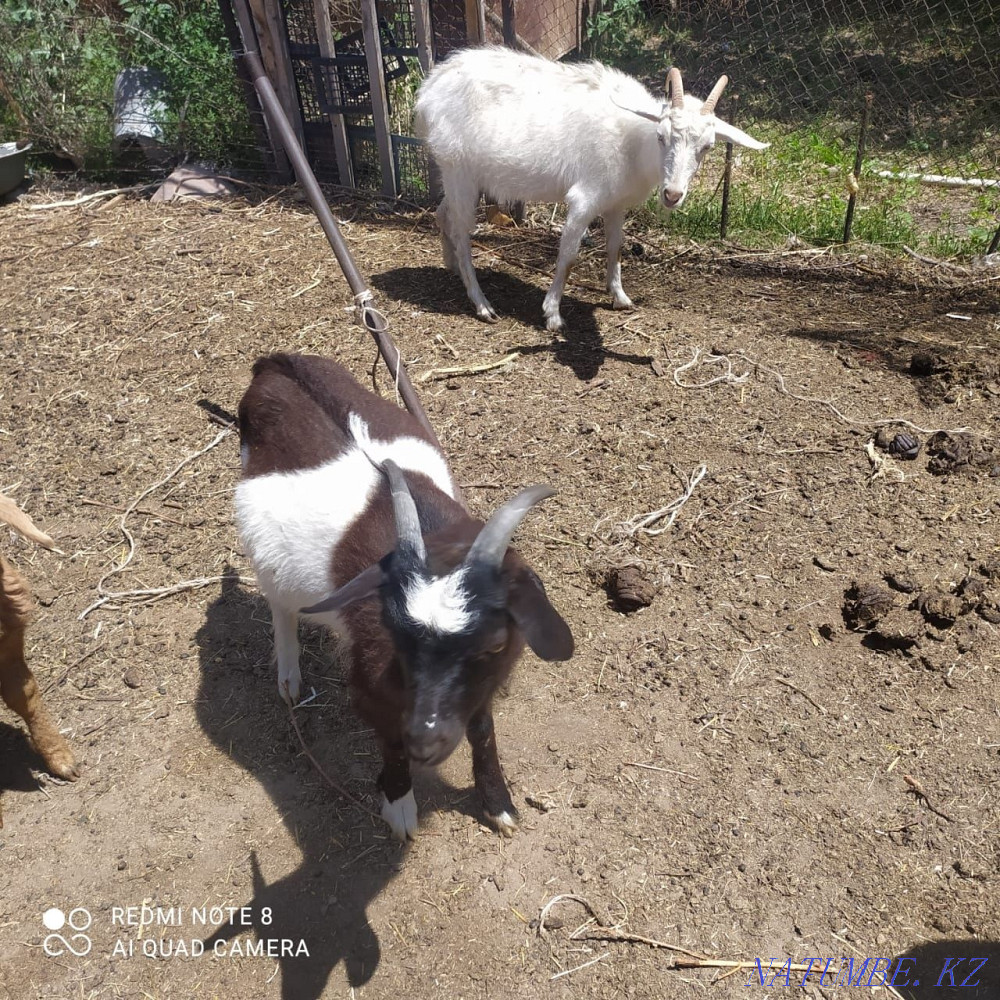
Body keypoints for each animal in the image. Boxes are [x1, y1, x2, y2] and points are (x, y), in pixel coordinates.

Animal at [234, 354, 573, 840]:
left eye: (493, 644)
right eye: (395, 632)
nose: (426, 742)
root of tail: (276, 364)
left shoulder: (482, 684)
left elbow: (482, 729)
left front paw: (499, 805)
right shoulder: (369, 687)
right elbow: (391, 742)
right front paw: (399, 810)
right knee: (280, 605)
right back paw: (288, 680)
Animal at [415, 46, 768, 331]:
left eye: (708, 146)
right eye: (661, 136)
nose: (672, 195)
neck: (631, 140)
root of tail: (429, 88)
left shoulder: (615, 203)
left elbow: (615, 247)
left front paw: (620, 297)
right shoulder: (585, 198)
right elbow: (569, 255)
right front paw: (553, 314)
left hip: (458, 175)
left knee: (444, 214)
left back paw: (452, 266)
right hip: (459, 169)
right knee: (461, 230)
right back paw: (482, 303)